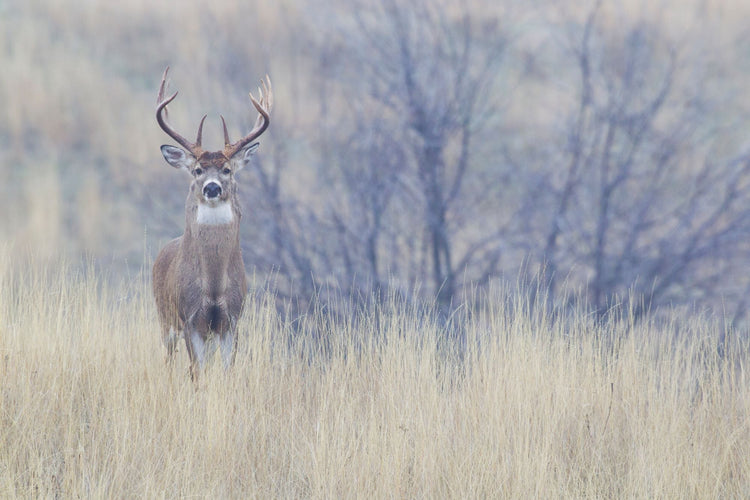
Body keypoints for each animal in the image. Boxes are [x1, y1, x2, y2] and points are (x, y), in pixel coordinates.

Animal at [151, 65, 272, 378]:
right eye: (197, 170)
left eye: (227, 169)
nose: (213, 187)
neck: (214, 288)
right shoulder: (190, 319)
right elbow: (197, 373)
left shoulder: (232, 320)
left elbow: (228, 371)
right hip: (164, 318)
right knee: (168, 360)